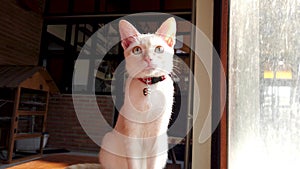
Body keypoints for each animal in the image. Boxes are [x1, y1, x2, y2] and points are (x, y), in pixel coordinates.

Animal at [99, 17, 177, 169]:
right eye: (137, 50)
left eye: (159, 49)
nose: (148, 59)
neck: (149, 87)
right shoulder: (132, 137)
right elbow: (134, 164)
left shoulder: (157, 135)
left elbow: (152, 164)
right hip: (108, 140)